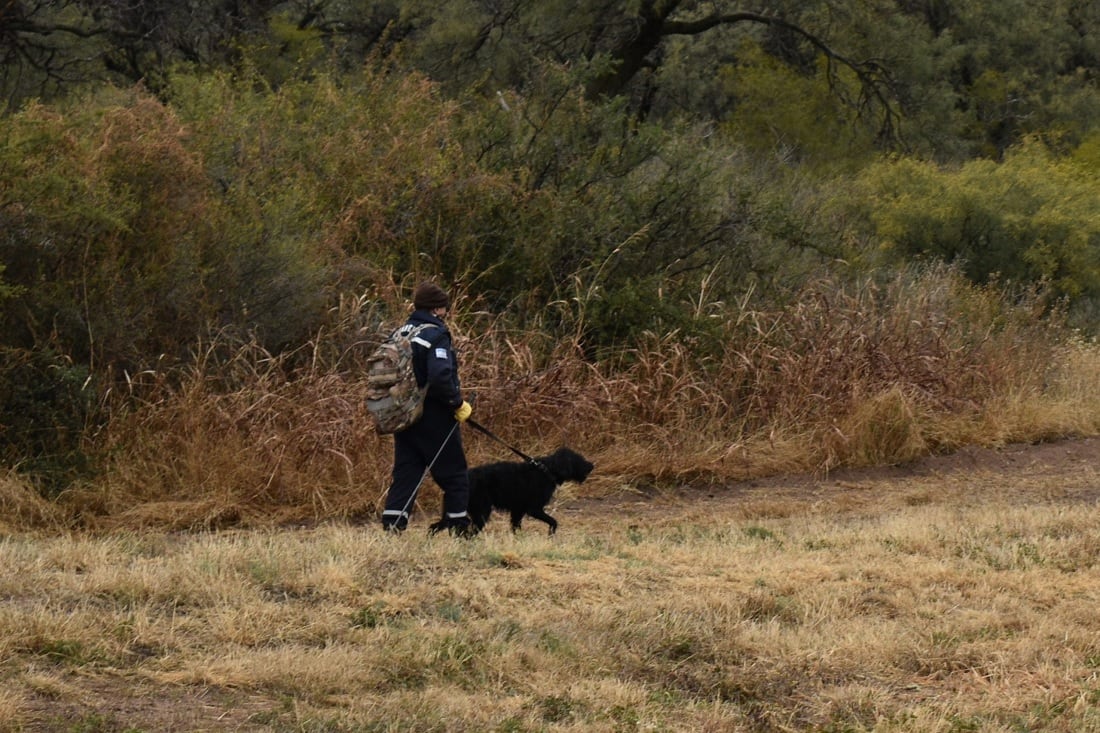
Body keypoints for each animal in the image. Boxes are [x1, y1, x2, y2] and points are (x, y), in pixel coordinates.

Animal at [462, 444, 594, 530]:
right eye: (578, 458)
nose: (592, 465)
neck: (547, 471)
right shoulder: (534, 509)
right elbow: (553, 522)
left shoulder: (518, 510)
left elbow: (516, 528)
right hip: (482, 511)